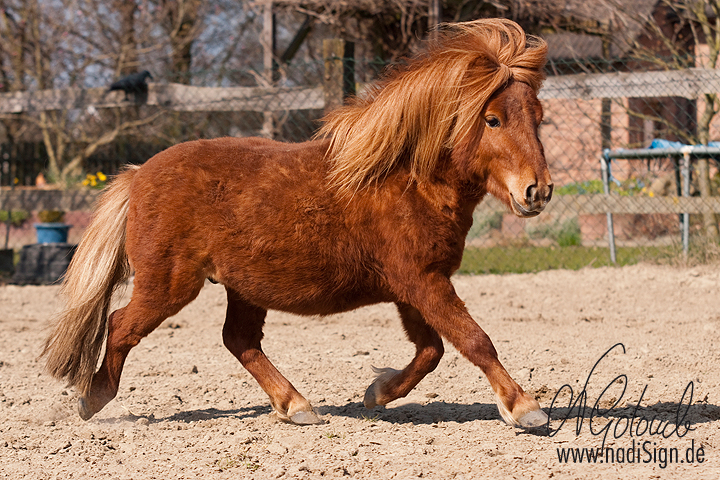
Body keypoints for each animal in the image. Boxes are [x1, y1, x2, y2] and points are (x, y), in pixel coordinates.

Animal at [42, 18, 553, 428]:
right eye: (492, 119)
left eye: (539, 118)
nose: (539, 190)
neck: (405, 179)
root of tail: (137, 175)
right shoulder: (423, 281)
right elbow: (474, 340)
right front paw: (524, 409)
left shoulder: (416, 285)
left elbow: (431, 350)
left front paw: (378, 394)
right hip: (168, 285)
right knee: (121, 324)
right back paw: (93, 398)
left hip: (242, 287)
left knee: (239, 340)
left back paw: (296, 405)